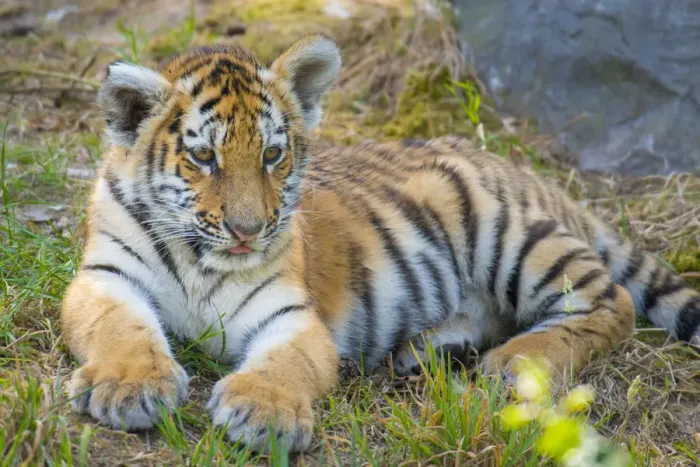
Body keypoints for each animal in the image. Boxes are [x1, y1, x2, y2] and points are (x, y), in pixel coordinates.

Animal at [61, 34, 700, 453]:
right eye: (202, 157)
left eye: (272, 154)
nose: (249, 230)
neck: (202, 258)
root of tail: (521, 169)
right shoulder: (108, 280)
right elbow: (121, 331)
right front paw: (128, 388)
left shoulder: (291, 315)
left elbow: (286, 364)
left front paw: (263, 412)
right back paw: (429, 349)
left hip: (508, 234)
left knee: (609, 301)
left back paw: (513, 361)